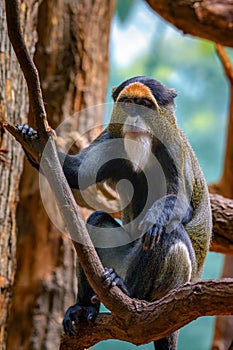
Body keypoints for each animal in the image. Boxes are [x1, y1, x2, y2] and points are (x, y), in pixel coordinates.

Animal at [17, 77, 211, 350]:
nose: (134, 119)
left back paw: (129, 292)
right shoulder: (110, 136)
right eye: (128, 103)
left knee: (170, 233)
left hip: (173, 286)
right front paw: (33, 140)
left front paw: (156, 219)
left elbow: (180, 202)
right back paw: (84, 306)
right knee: (96, 220)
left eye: (144, 105)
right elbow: (77, 172)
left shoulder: (172, 148)